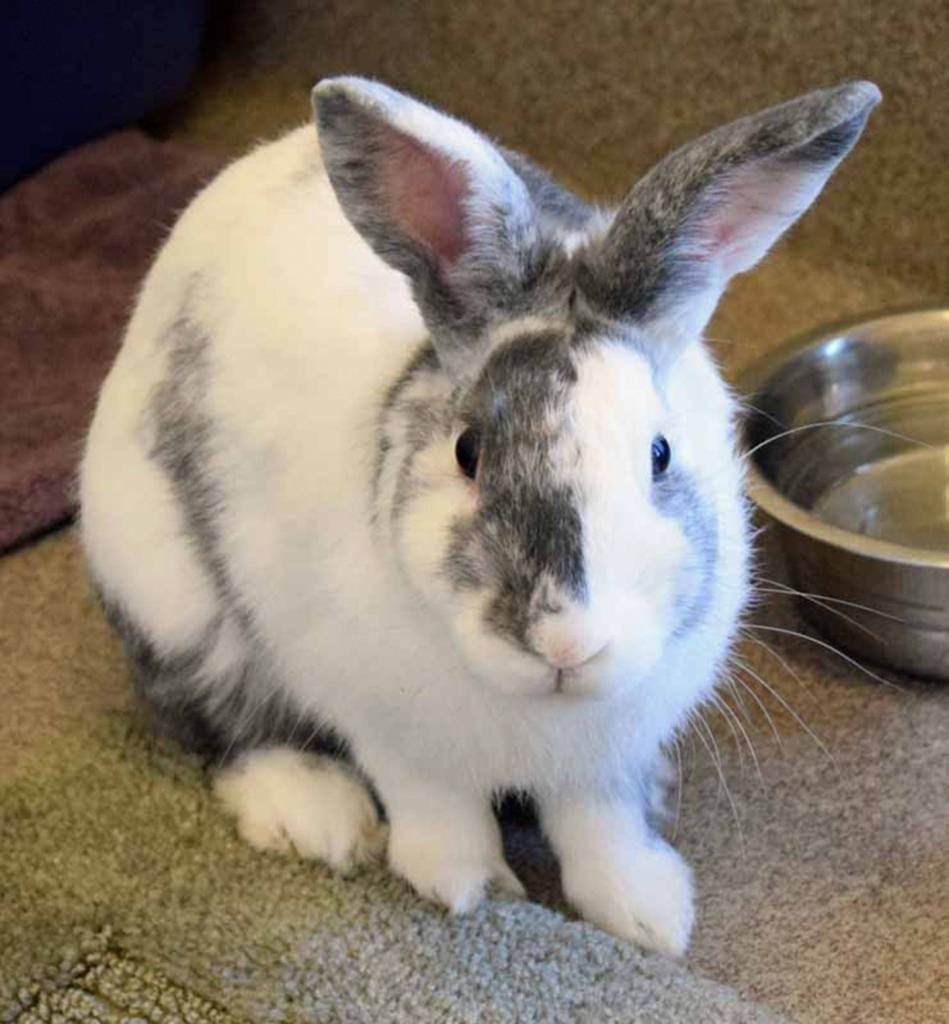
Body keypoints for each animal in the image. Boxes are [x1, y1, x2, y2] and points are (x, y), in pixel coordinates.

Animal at [80, 76, 880, 956]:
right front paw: (467, 887)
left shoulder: (606, 753)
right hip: (173, 603)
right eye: (468, 452)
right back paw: (316, 816)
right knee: (222, 727)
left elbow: (602, 827)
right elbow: (437, 808)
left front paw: (649, 916)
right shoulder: (391, 730)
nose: (564, 642)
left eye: (659, 454)